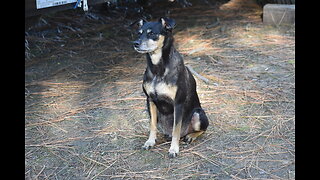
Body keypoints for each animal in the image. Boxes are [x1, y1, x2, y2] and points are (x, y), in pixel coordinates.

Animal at [131, 17, 209, 158]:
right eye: (138, 33)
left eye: (152, 33)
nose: (135, 43)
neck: (158, 68)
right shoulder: (150, 100)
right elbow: (152, 126)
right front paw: (150, 142)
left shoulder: (178, 103)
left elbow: (176, 129)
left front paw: (173, 149)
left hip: (198, 114)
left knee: (202, 129)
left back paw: (190, 136)